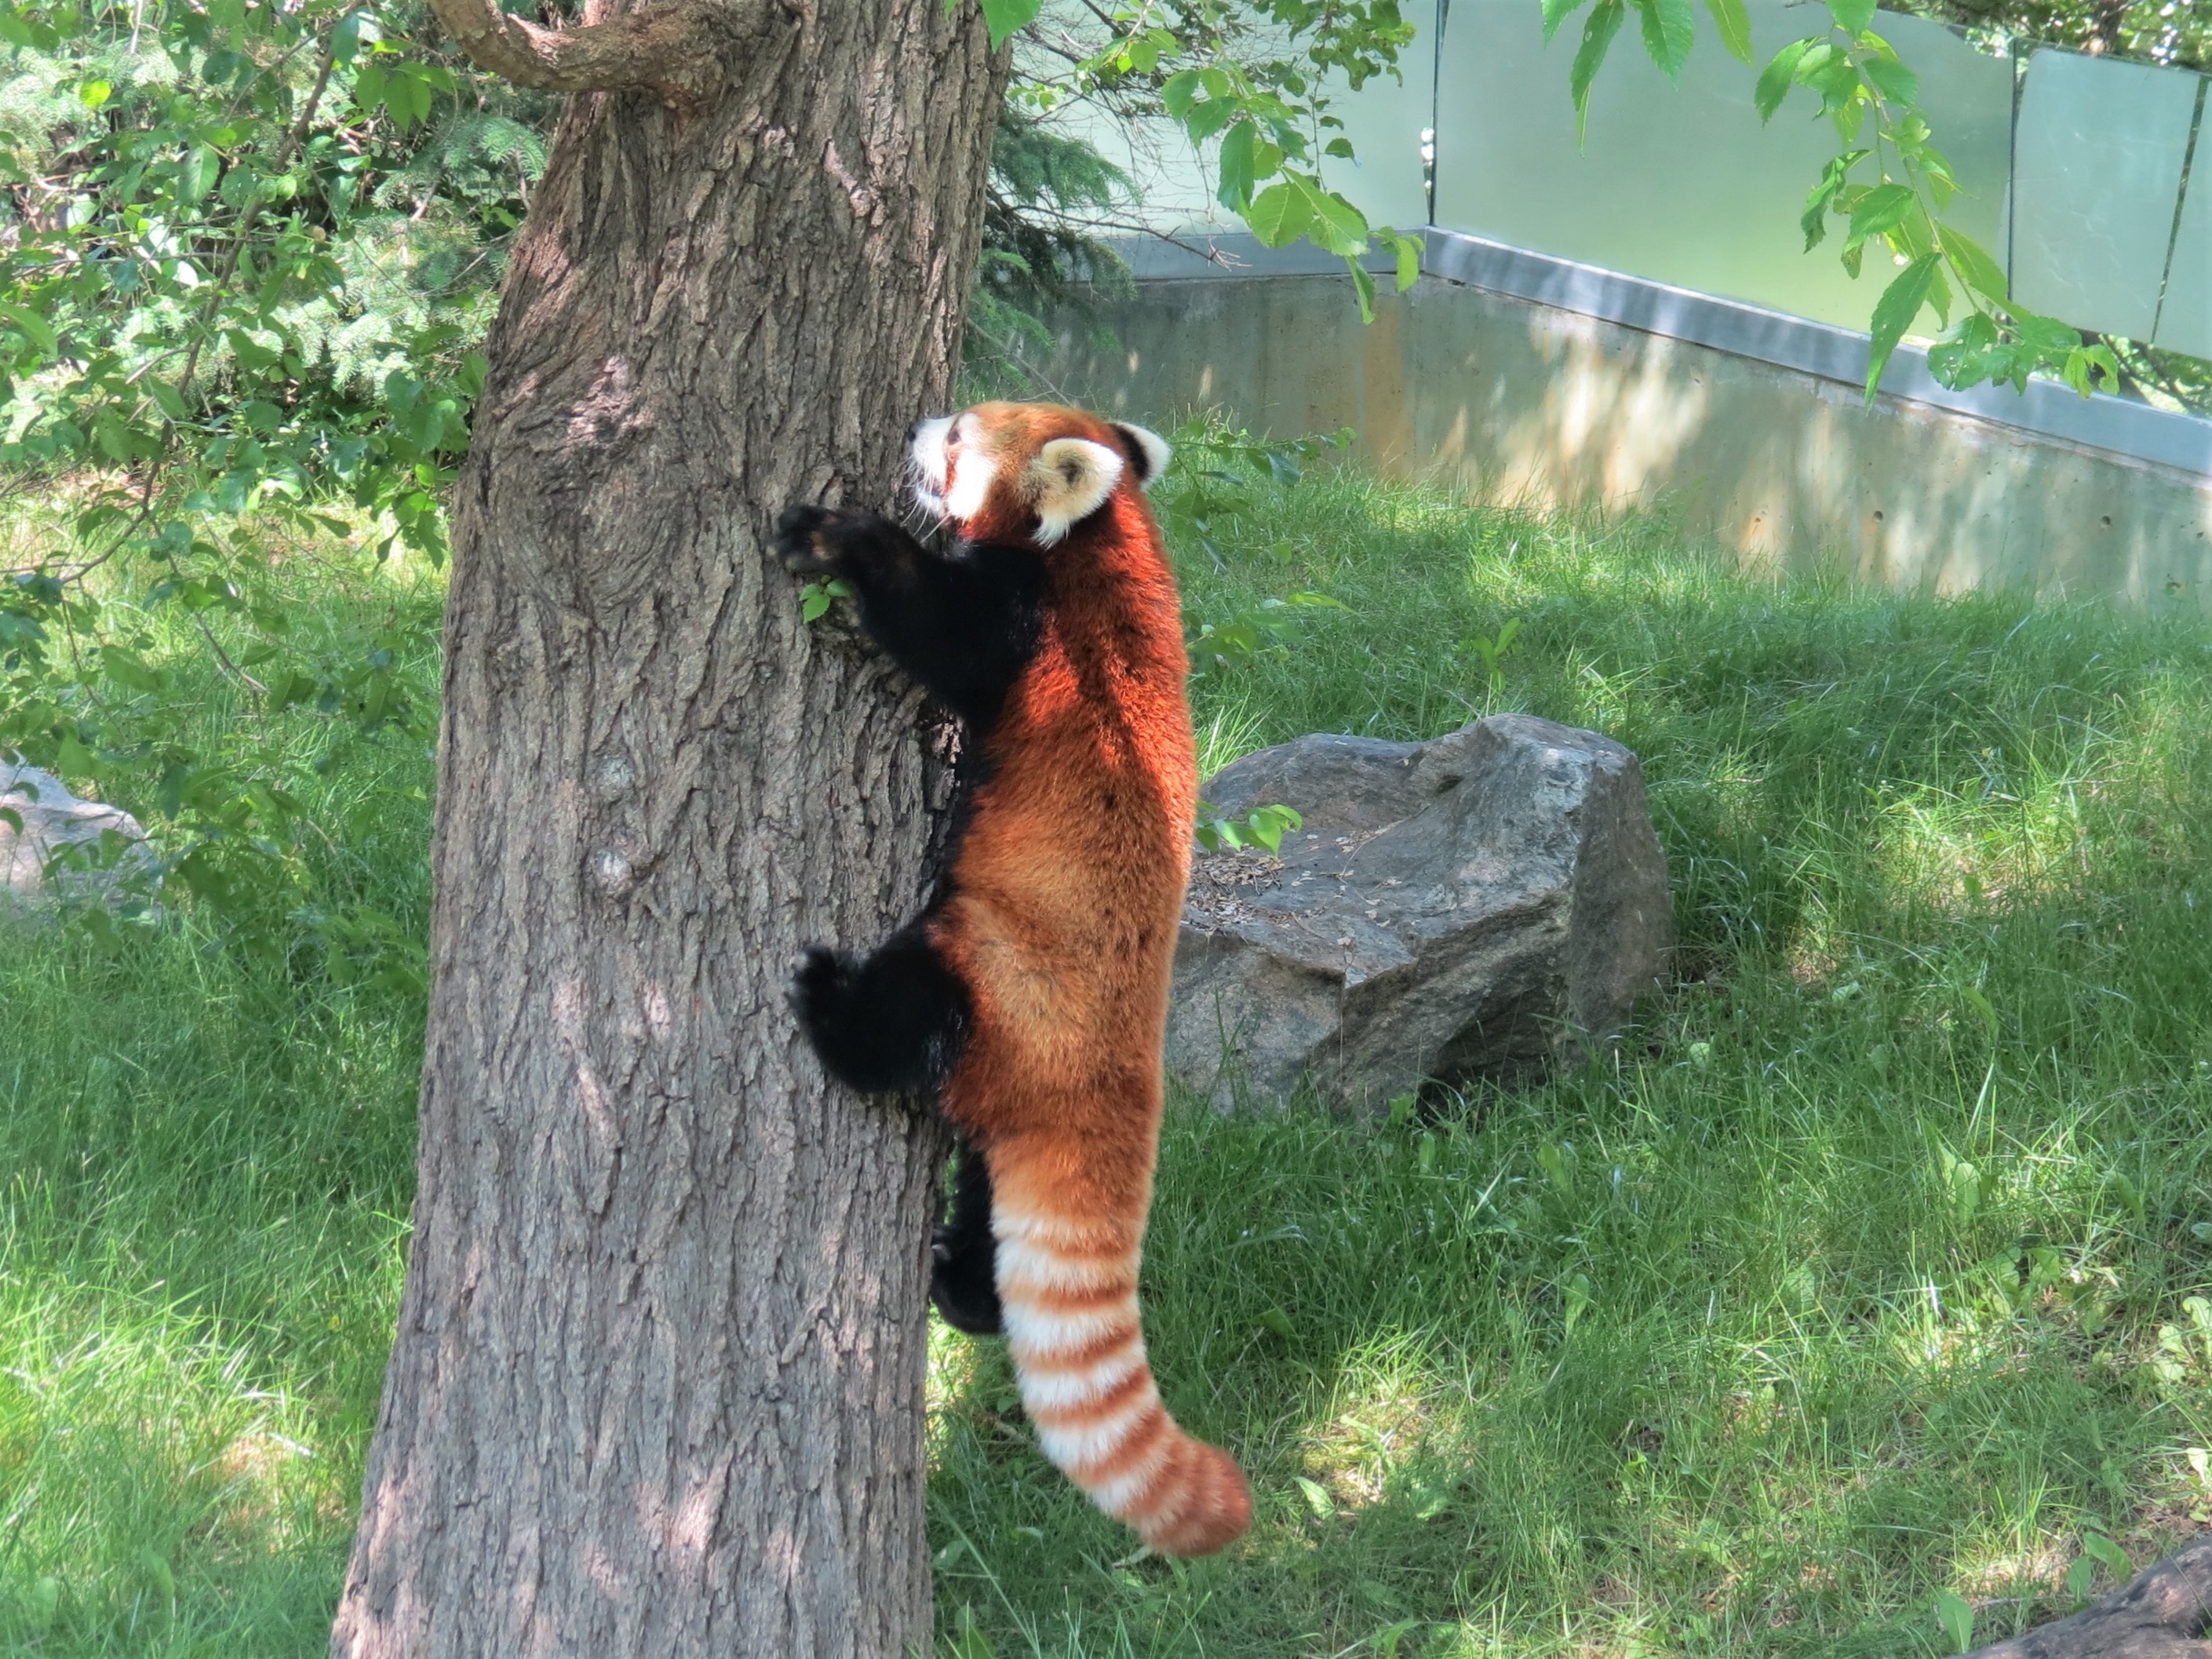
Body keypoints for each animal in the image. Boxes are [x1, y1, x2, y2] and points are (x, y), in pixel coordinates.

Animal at [773, 400, 1252, 1559]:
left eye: (955, 437)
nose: (914, 425)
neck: (1109, 540)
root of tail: (1116, 1078)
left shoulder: (1027, 631)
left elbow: (934, 629)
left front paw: (833, 536)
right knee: (986, 1189)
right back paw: (963, 1280)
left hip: (984, 964)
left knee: (909, 1017)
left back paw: (829, 1003)